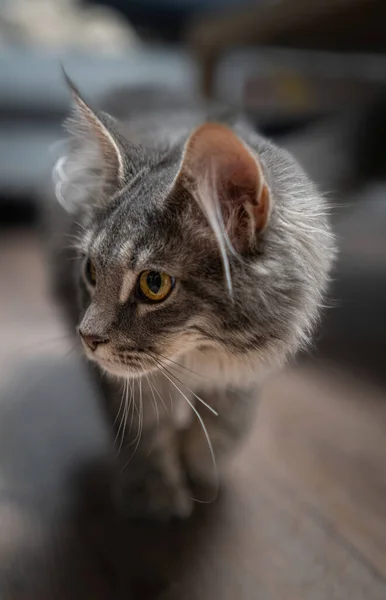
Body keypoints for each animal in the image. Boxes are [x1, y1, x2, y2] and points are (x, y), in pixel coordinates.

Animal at [46, 74, 334, 516]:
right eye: (91, 271)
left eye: (154, 284)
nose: (87, 338)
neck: (201, 355)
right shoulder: (132, 382)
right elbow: (142, 428)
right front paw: (156, 493)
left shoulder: (247, 369)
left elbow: (227, 423)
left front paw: (200, 467)